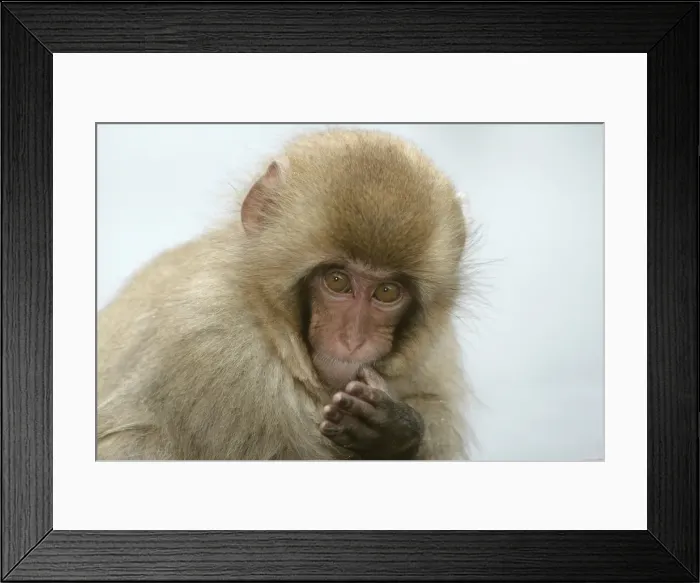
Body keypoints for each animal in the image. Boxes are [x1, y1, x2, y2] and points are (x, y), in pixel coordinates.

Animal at [97, 128, 472, 460]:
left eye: (387, 291)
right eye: (337, 281)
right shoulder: (220, 354)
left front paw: (393, 432)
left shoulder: (432, 361)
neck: (268, 320)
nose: (353, 341)